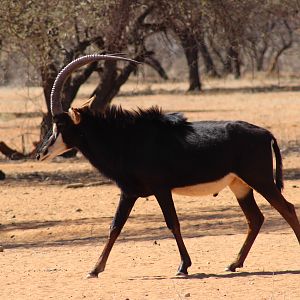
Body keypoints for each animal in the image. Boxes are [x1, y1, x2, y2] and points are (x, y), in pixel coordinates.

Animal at [37, 54, 300, 278]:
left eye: (60, 125)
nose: (41, 152)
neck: (126, 139)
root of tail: (265, 133)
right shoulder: (129, 192)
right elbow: (115, 226)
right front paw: (94, 269)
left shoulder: (161, 189)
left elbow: (172, 222)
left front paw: (183, 266)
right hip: (240, 186)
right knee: (255, 219)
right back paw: (233, 264)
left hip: (260, 180)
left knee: (287, 208)